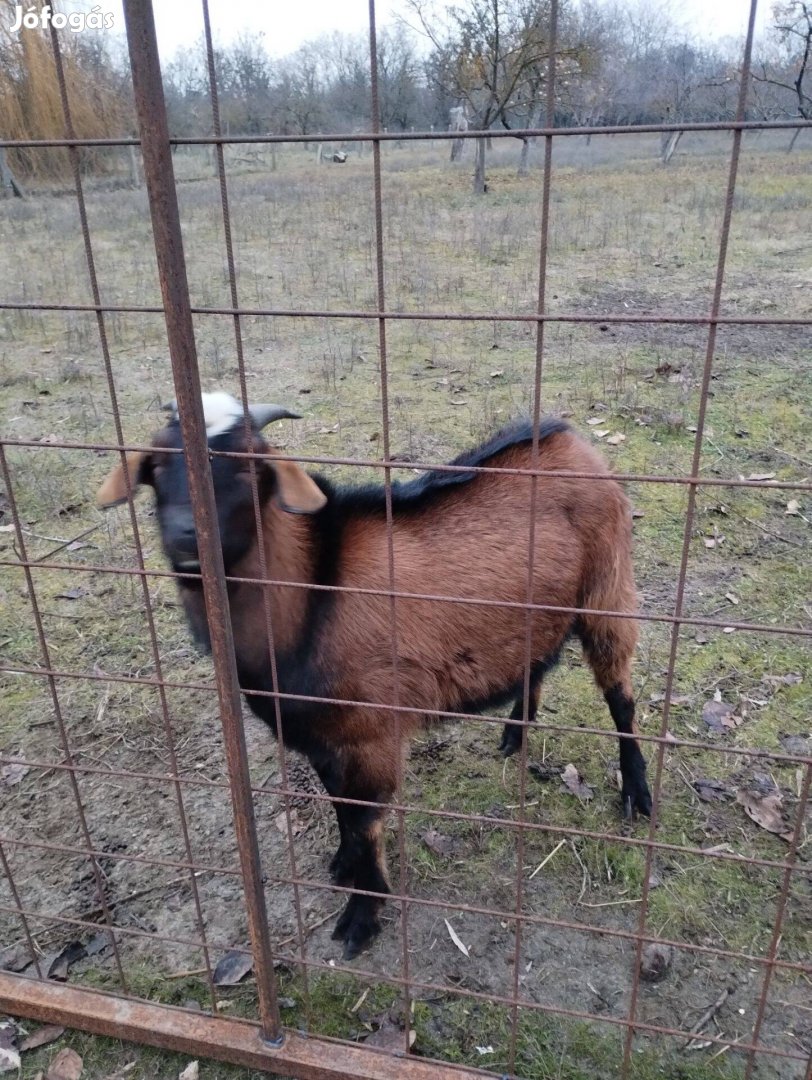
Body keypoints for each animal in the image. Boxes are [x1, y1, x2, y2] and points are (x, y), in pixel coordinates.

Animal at [96, 393, 652, 959]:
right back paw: (515, 734)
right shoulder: (319, 734)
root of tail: (570, 440)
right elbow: (340, 805)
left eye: (251, 467)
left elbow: (365, 819)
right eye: (155, 467)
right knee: (537, 662)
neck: (311, 596)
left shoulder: (372, 731)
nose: (186, 535)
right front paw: (345, 865)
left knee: (621, 696)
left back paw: (637, 792)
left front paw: (363, 914)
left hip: (608, 588)